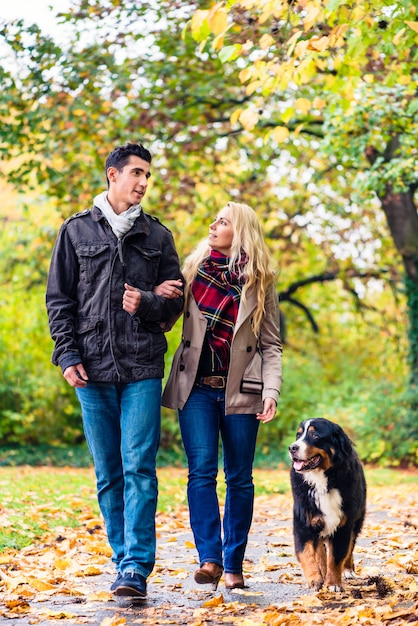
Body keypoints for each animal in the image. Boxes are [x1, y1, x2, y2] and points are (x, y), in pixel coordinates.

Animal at [288, 416, 366, 588]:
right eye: (298, 435)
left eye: (315, 435)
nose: (292, 447)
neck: (322, 481)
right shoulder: (304, 522)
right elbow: (307, 553)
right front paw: (315, 579)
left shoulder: (343, 525)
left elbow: (337, 557)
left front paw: (333, 583)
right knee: (320, 552)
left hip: (356, 521)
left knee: (350, 547)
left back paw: (348, 569)